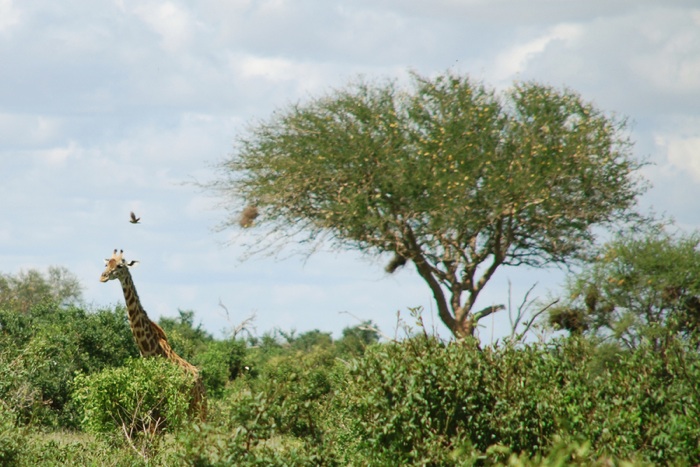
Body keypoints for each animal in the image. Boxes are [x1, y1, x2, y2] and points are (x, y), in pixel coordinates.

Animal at [100, 249, 206, 421]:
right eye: (106, 263)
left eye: (120, 265)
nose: (102, 277)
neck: (148, 350)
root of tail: (202, 384)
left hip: (198, 410)